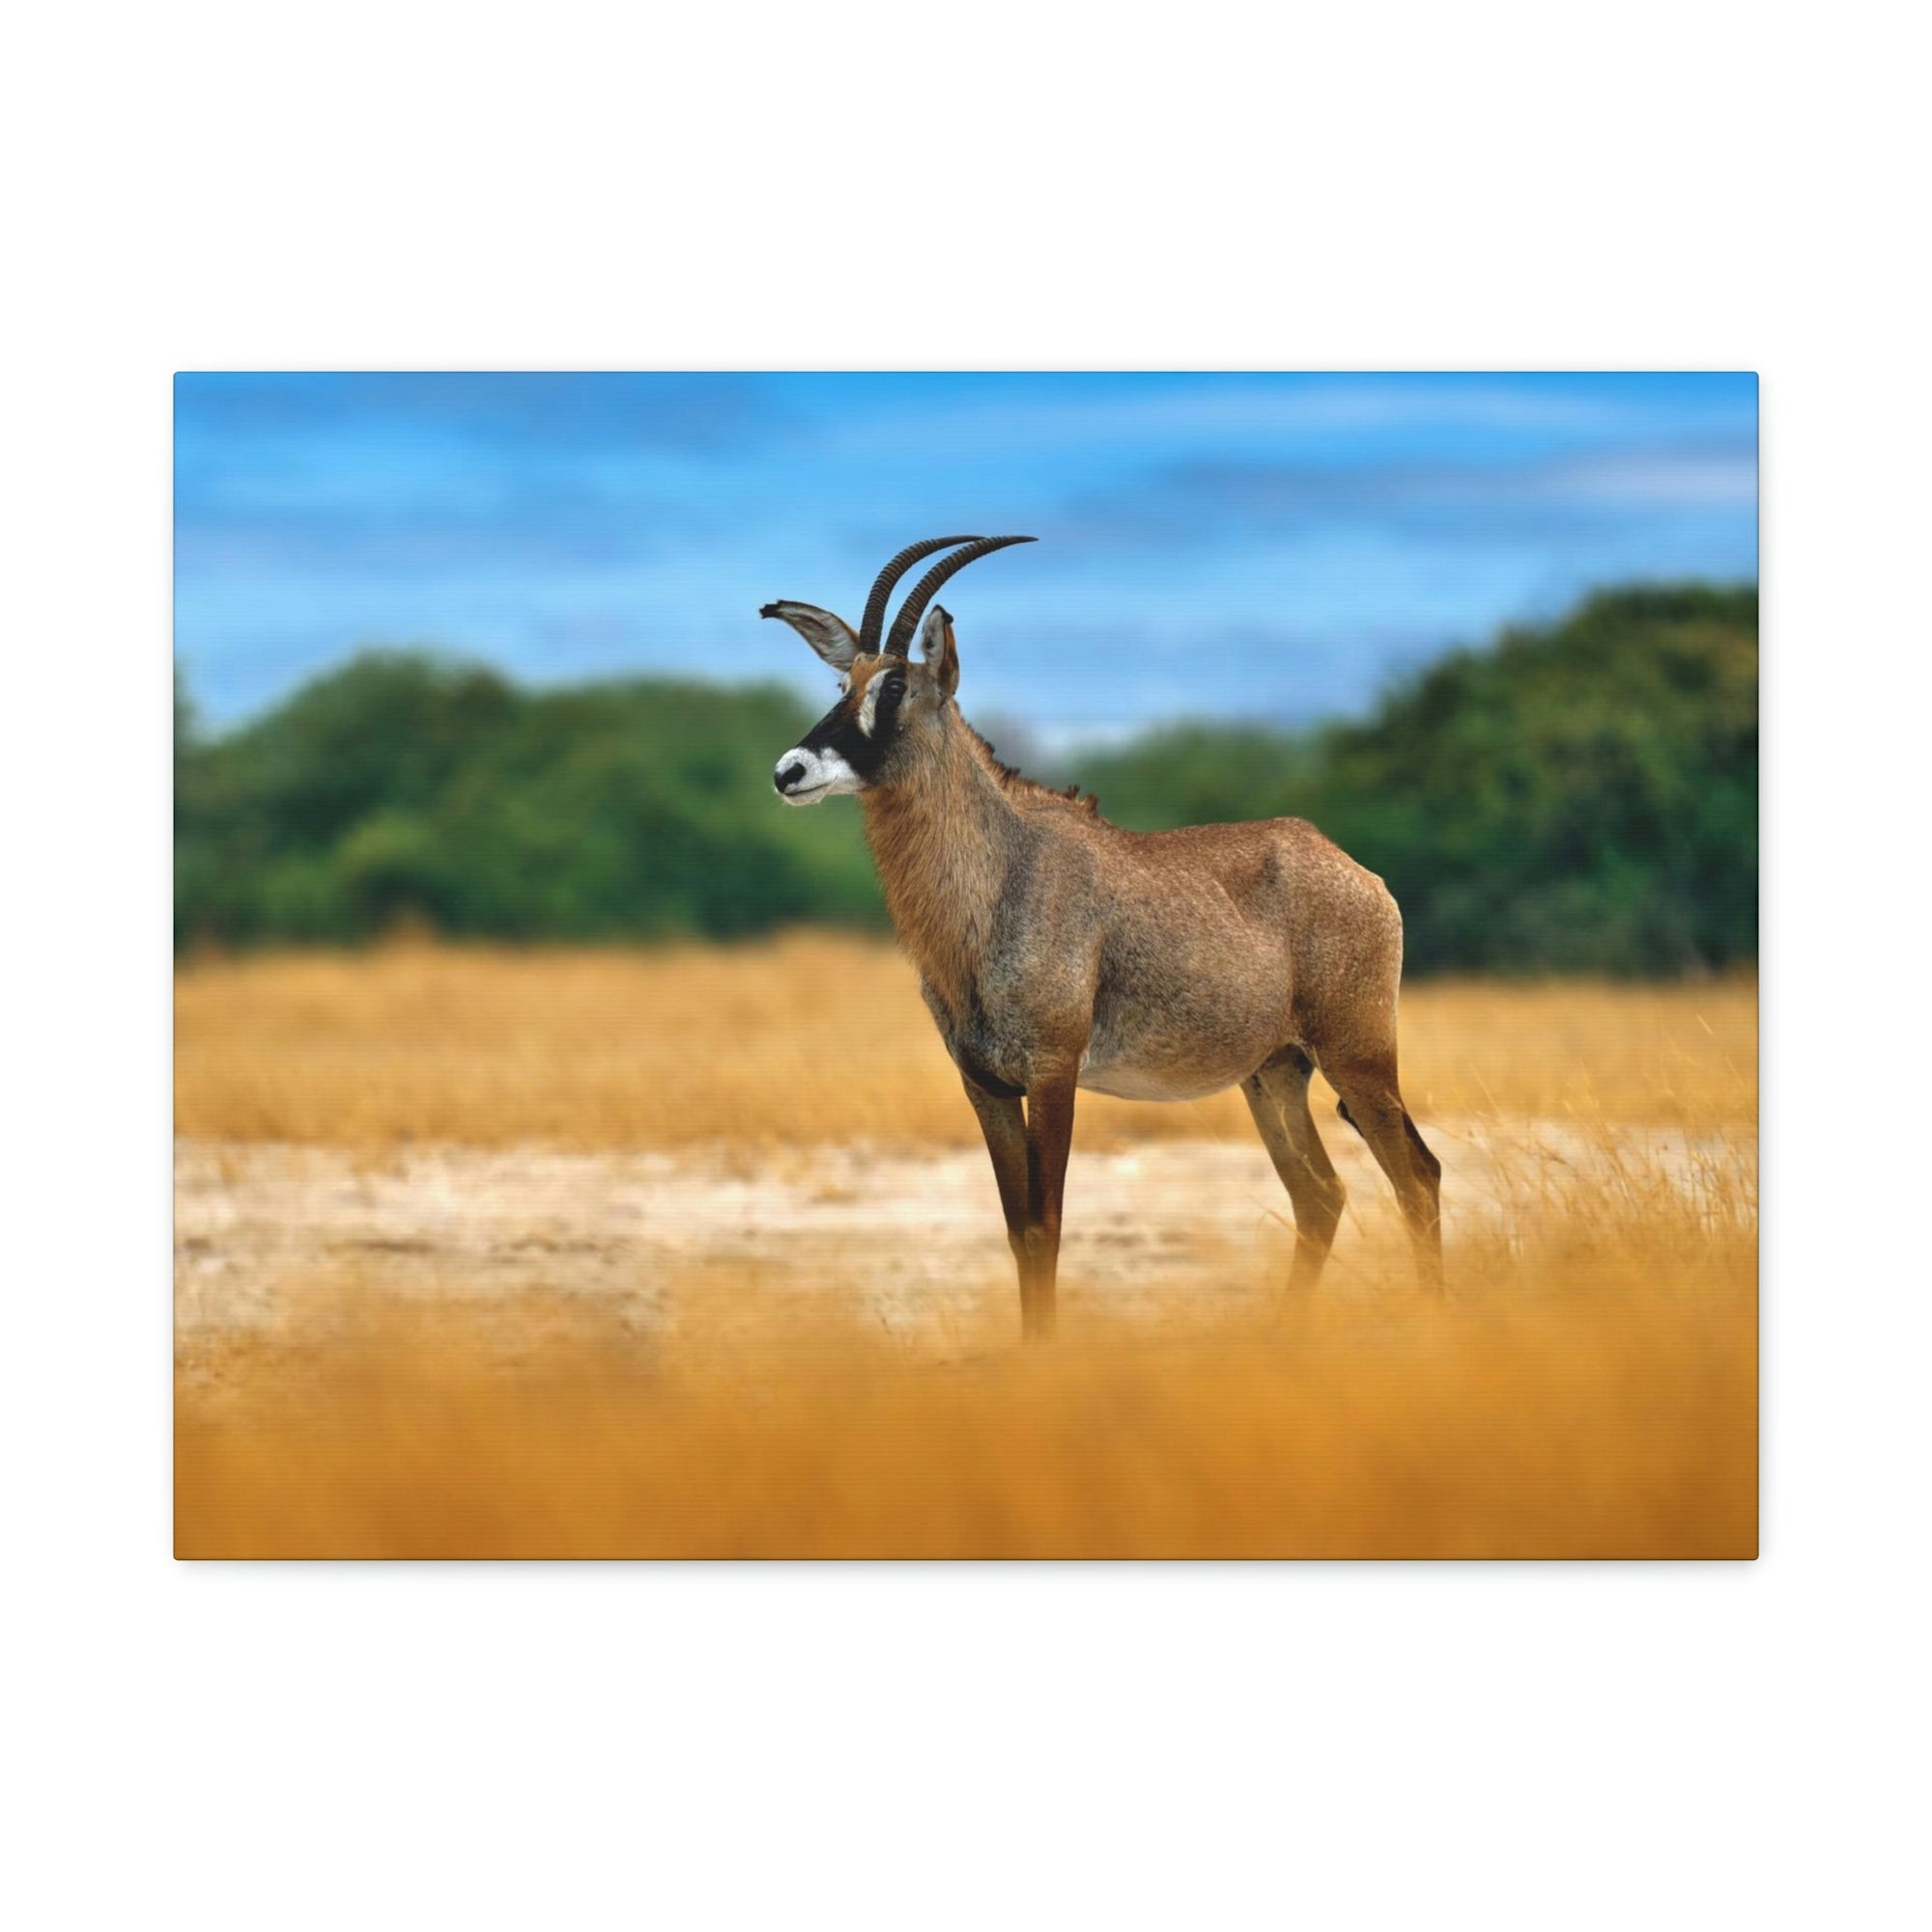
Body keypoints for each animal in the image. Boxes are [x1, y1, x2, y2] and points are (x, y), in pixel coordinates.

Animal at [761, 537, 1445, 1337]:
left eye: (895, 687)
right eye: (845, 682)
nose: (791, 770)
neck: (1002, 875)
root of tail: (1357, 874)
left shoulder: (1054, 1074)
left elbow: (1045, 1226)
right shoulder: (984, 1085)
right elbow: (1016, 1231)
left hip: (1357, 1055)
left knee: (1417, 1175)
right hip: (1274, 1073)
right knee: (1321, 1193)